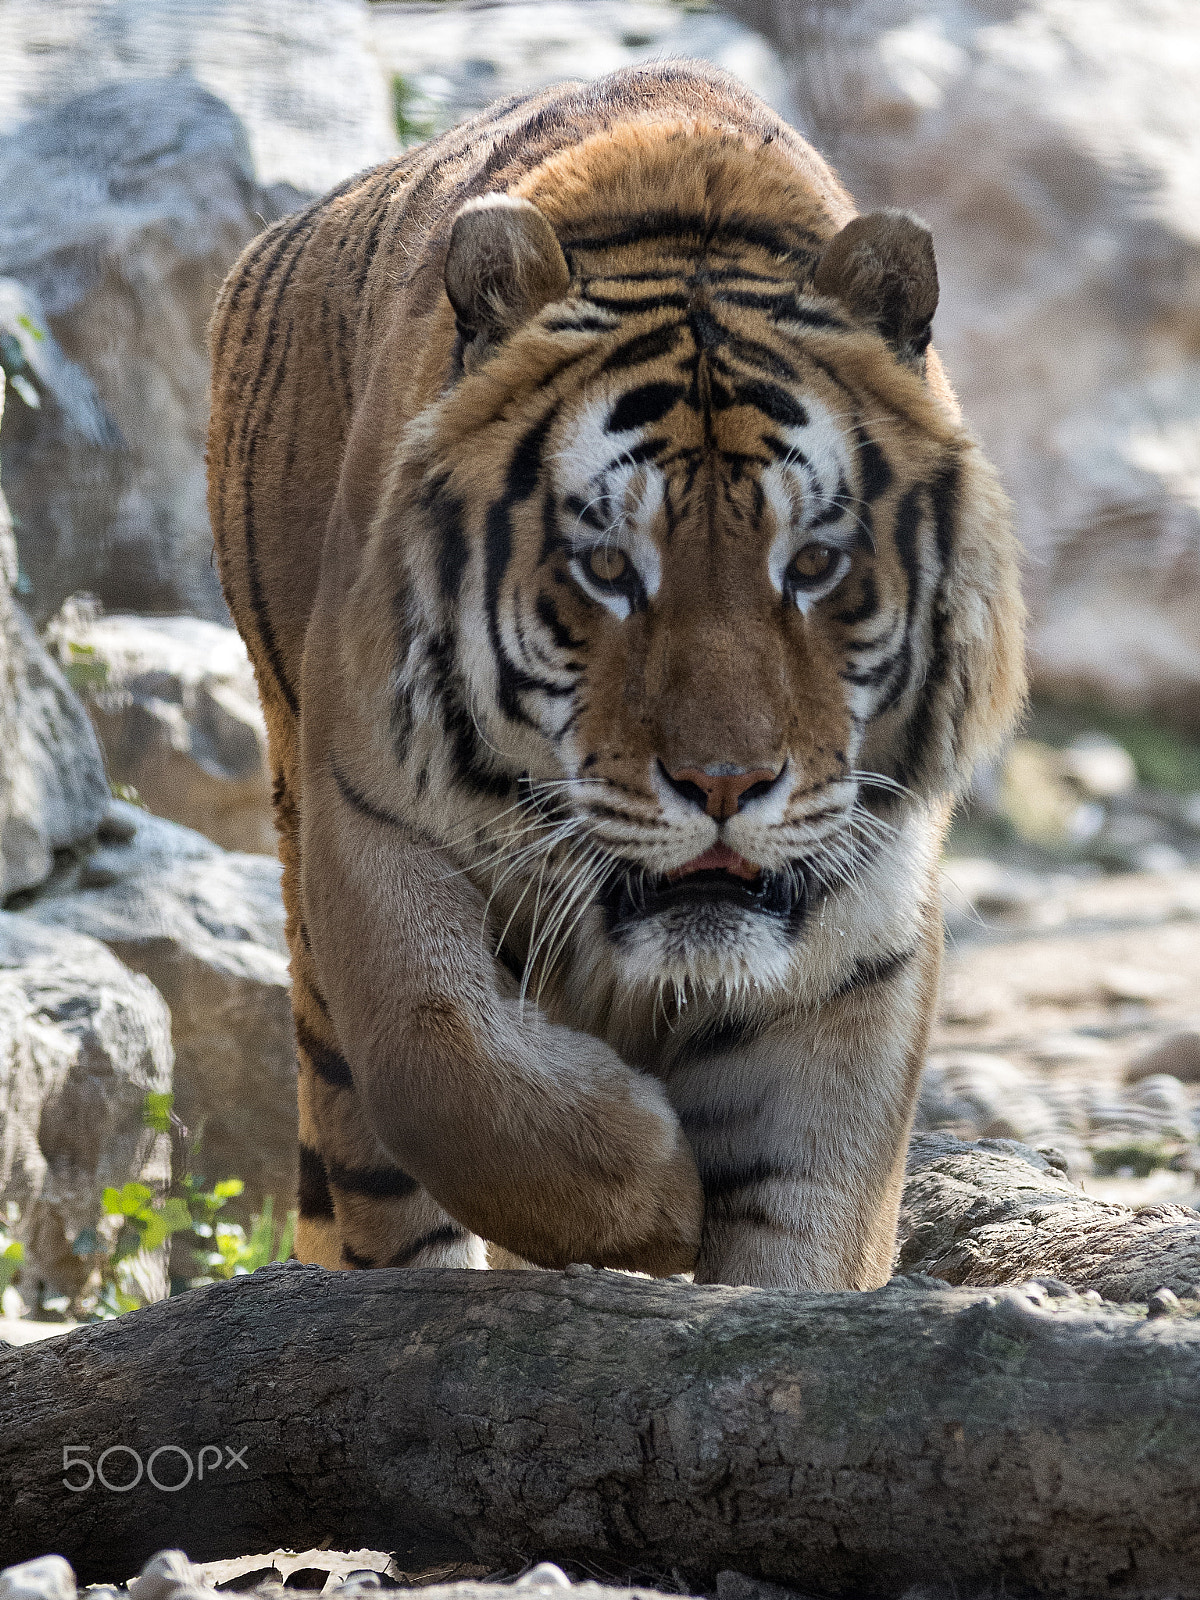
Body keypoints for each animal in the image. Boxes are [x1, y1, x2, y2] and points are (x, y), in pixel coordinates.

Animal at [207, 61, 1025, 1290]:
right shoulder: (372, 822)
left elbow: (809, 1226)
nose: (727, 786)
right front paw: (654, 1204)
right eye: (606, 568)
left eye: (814, 563)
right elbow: (449, 1066)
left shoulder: (861, 933)